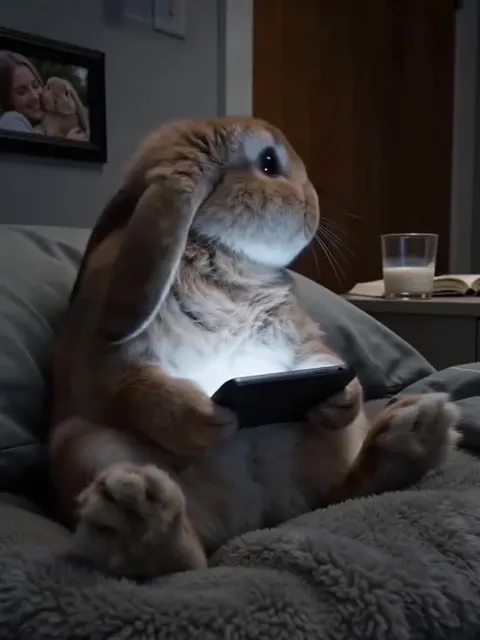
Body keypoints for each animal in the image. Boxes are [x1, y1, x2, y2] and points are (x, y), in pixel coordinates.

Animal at [49, 117, 460, 581]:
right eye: (268, 162)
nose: (313, 206)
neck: (222, 250)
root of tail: (258, 518)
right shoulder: (102, 363)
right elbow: (132, 387)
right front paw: (203, 418)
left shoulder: (300, 335)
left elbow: (321, 354)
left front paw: (341, 399)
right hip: (82, 445)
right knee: (183, 561)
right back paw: (136, 517)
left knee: (343, 491)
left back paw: (413, 434)